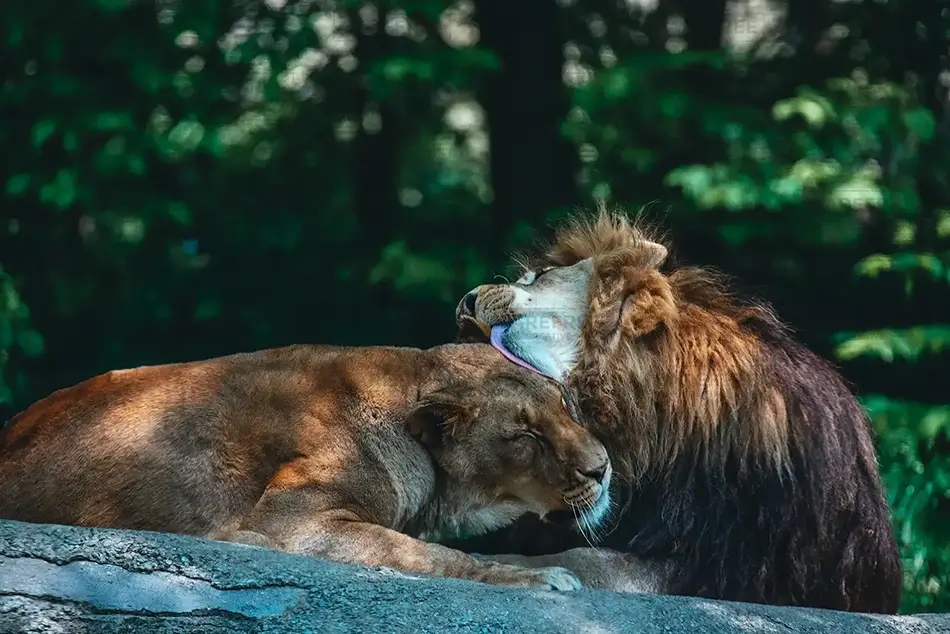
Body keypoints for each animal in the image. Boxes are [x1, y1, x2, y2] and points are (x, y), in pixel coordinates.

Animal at [0, 342, 613, 591]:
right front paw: (536, 580)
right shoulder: (295, 518)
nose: (602, 469)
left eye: (566, 406)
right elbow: (433, 556)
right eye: (524, 435)